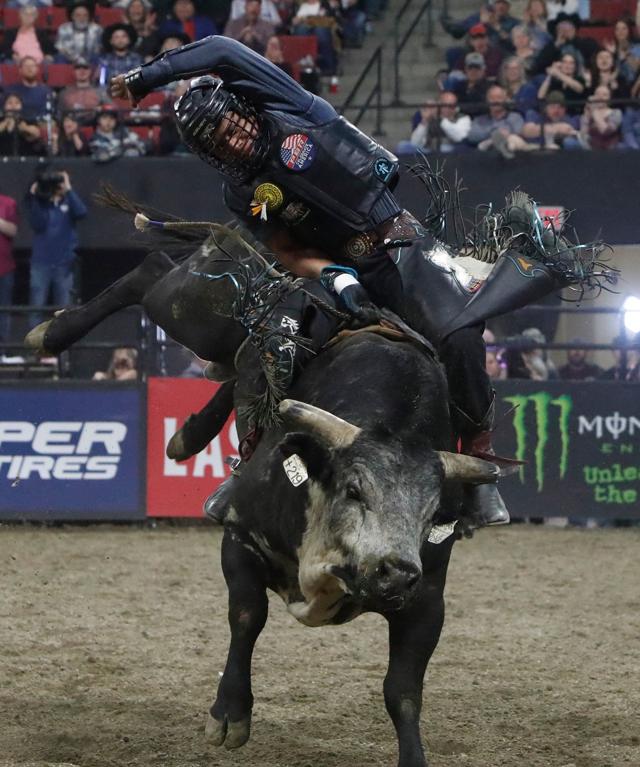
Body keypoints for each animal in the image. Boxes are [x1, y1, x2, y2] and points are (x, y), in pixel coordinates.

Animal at [22, 201, 608, 764]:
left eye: (430, 514)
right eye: (353, 489)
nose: (396, 571)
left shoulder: (427, 600)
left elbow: (403, 691)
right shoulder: (240, 534)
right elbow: (247, 615)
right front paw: (229, 714)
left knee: (235, 373)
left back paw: (187, 437)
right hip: (203, 306)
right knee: (153, 270)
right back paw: (52, 332)